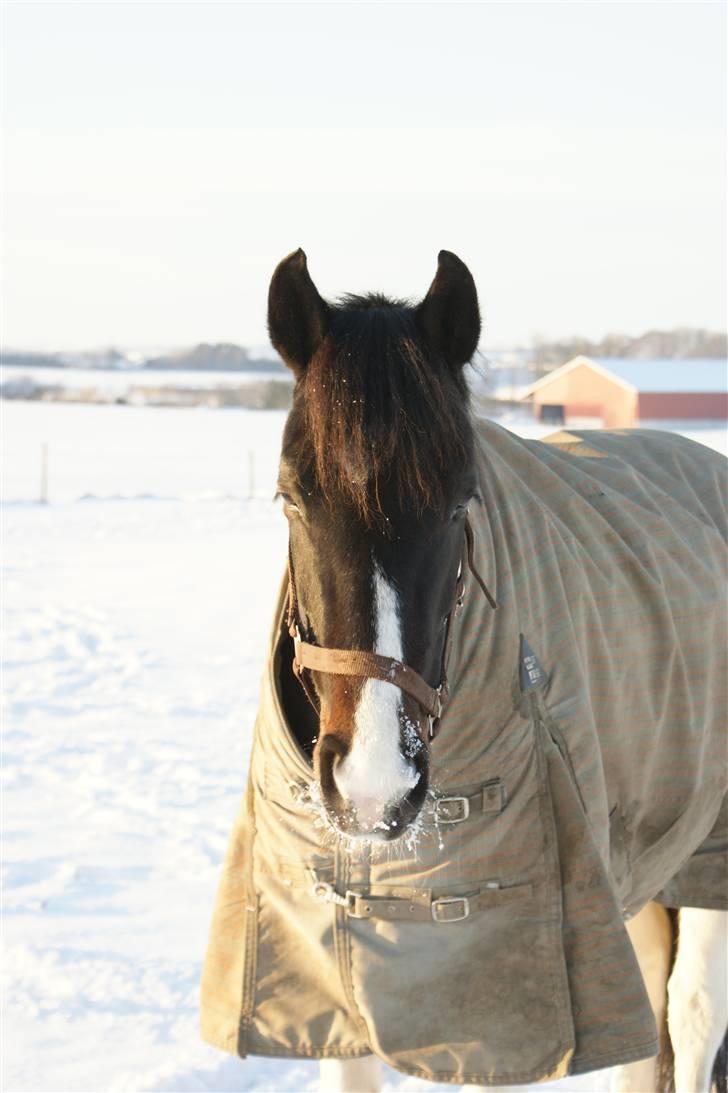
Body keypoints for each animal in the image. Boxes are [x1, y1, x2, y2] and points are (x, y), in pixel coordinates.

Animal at [200, 250, 727, 1093]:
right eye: (290, 498)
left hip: (711, 852)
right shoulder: (338, 987)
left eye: (458, 505)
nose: (374, 786)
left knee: (693, 1010)